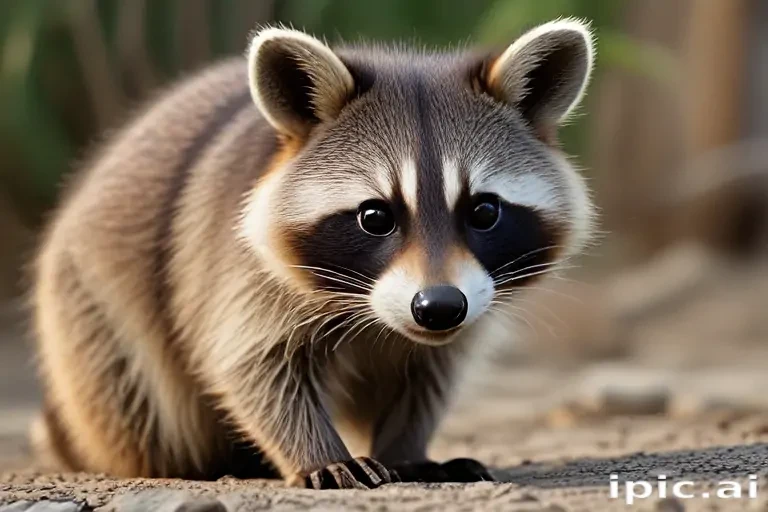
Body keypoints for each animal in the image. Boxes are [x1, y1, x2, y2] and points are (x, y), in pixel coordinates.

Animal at [31, 19, 596, 489]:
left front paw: (406, 450)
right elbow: (253, 364)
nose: (438, 307)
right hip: (90, 316)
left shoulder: (466, 305)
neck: (373, 313)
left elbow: (427, 377)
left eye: (483, 211)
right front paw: (318, 454)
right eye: (375, 217)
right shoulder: (241, 269)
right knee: (139, 400)